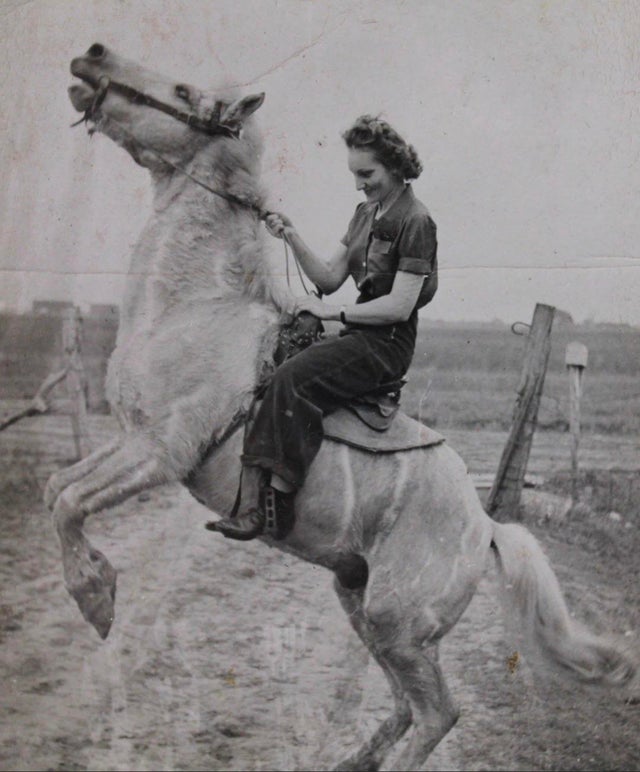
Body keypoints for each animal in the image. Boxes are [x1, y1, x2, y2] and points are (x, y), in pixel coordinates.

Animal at [49, 43, 637, 771]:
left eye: (185, 92)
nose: (91, 56)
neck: (195, 308)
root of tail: (486, 528)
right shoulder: (127, 439)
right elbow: (57, 489)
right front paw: (95, 585)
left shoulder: (159, 452)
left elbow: (70, 505)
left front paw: (97, 599)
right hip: (357, 598)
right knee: (404, 706)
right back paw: (352, 761)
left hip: (395, 619)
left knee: (438, 712)